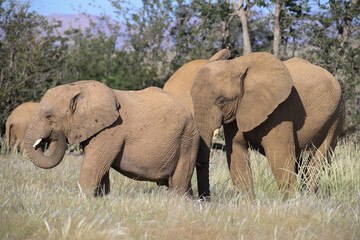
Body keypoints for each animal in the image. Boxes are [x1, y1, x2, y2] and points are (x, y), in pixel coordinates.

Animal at [24, 80, 200, 197]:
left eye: (49, 116)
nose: (56, 135)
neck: (80, 88)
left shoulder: (111, 130)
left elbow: (94, 165)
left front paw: (83, 199)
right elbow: (102, 170)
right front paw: (102, 198)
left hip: (188, 141)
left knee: (179, 185)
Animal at [172, 50, 344, 199]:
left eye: (221, 100)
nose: (205, 200)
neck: (237, 66)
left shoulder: (281, 110)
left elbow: (279, 156)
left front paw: (291, 205)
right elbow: (236, 156)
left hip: (335, 118)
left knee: (317, 161)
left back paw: (309, 198)